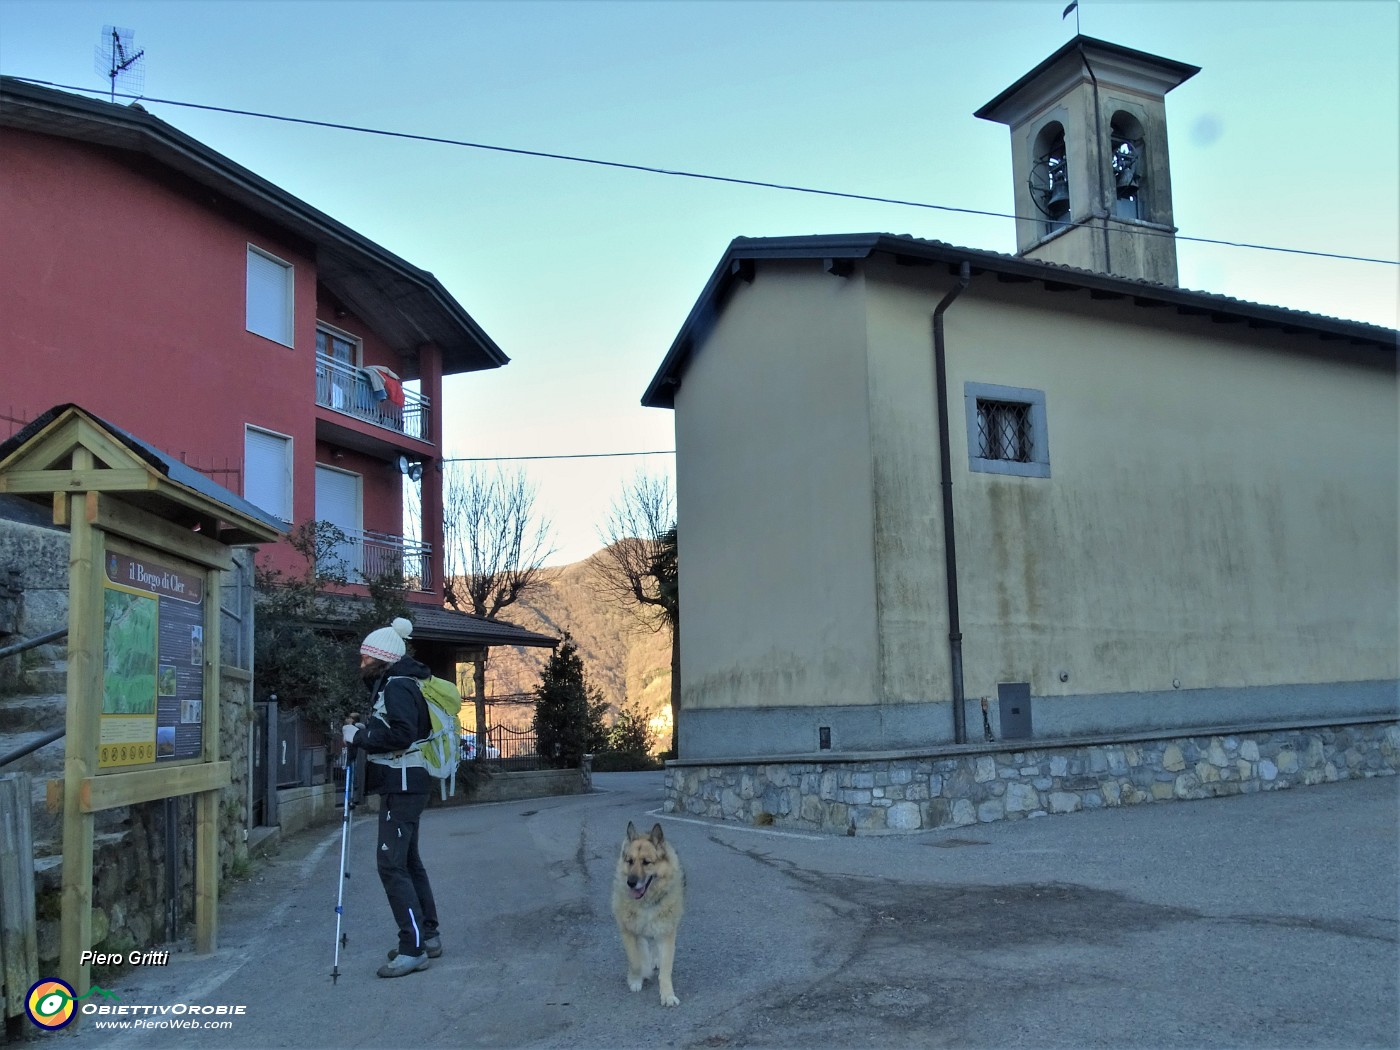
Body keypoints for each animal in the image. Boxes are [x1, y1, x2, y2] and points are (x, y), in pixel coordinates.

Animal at [613, 828, 683, 1008]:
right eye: (630, 861)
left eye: (646, 862)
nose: (631, 882)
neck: (646, 902)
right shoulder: (628, 931)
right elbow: (636, 960)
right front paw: (637, 978)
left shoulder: (666, 933)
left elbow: (665, 969)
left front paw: (667, 995)